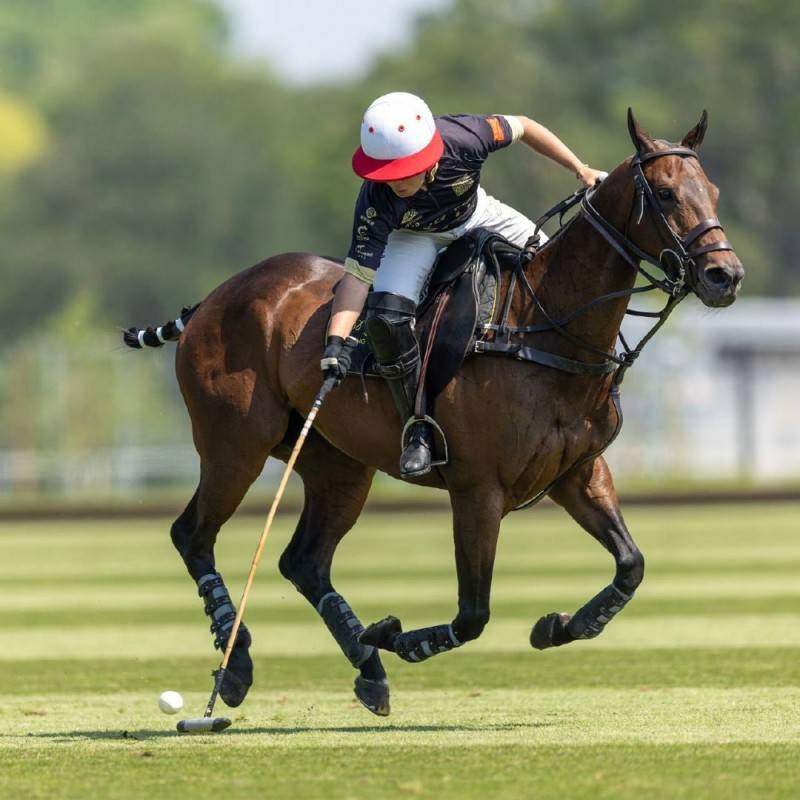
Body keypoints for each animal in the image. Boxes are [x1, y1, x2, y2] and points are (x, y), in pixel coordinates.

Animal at [125, 109, 744, 716]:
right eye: (664, 193)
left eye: (712, 190)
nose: (726, 277)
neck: (545, 326)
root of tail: (211, 300)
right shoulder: (478, 488)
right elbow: (473, 613)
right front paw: (399, 638)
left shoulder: (579, 473)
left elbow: (630, 565)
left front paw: (558, 625)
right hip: (235, 447)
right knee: (193, 534)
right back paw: (238, 667)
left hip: (339, 465)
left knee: (304, 561)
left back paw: (368, 671)